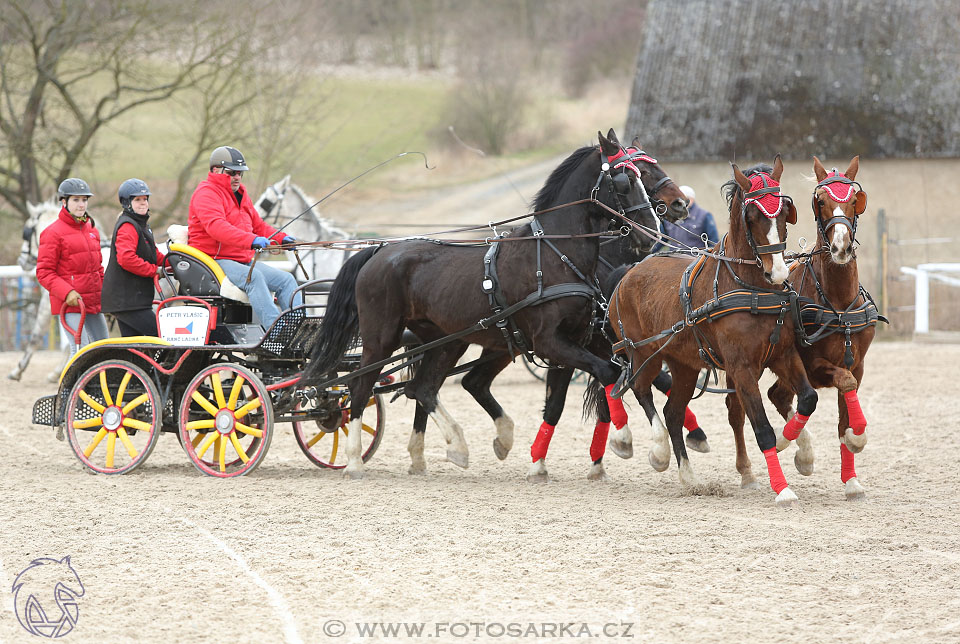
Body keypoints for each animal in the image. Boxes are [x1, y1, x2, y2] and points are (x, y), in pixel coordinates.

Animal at [300, 128, 656, 478]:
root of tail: (380, 250)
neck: (553, 253)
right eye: (625, 181)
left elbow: (571, 396)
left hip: (446, 341)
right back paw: (355, 460)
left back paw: (456, 447)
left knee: (424, 388)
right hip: (382, 337)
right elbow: (608, 372)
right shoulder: (549, 342)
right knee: (362, 386)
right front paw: (624, 440)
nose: (651, 233)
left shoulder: (573, 341)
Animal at [608, 157, 816, 508]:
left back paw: (689, 476)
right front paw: (782, 487)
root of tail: (629, 272)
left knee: (673, 412)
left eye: (785, 211)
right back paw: (658, 451)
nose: (778, 272)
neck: (751, 288)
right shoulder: (741, 367)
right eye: (752, 216)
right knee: (639, 390)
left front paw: (799, 451)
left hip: (684, 365)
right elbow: (762, 428)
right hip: (643, 353)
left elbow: (808, 399)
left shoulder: (783, 355)